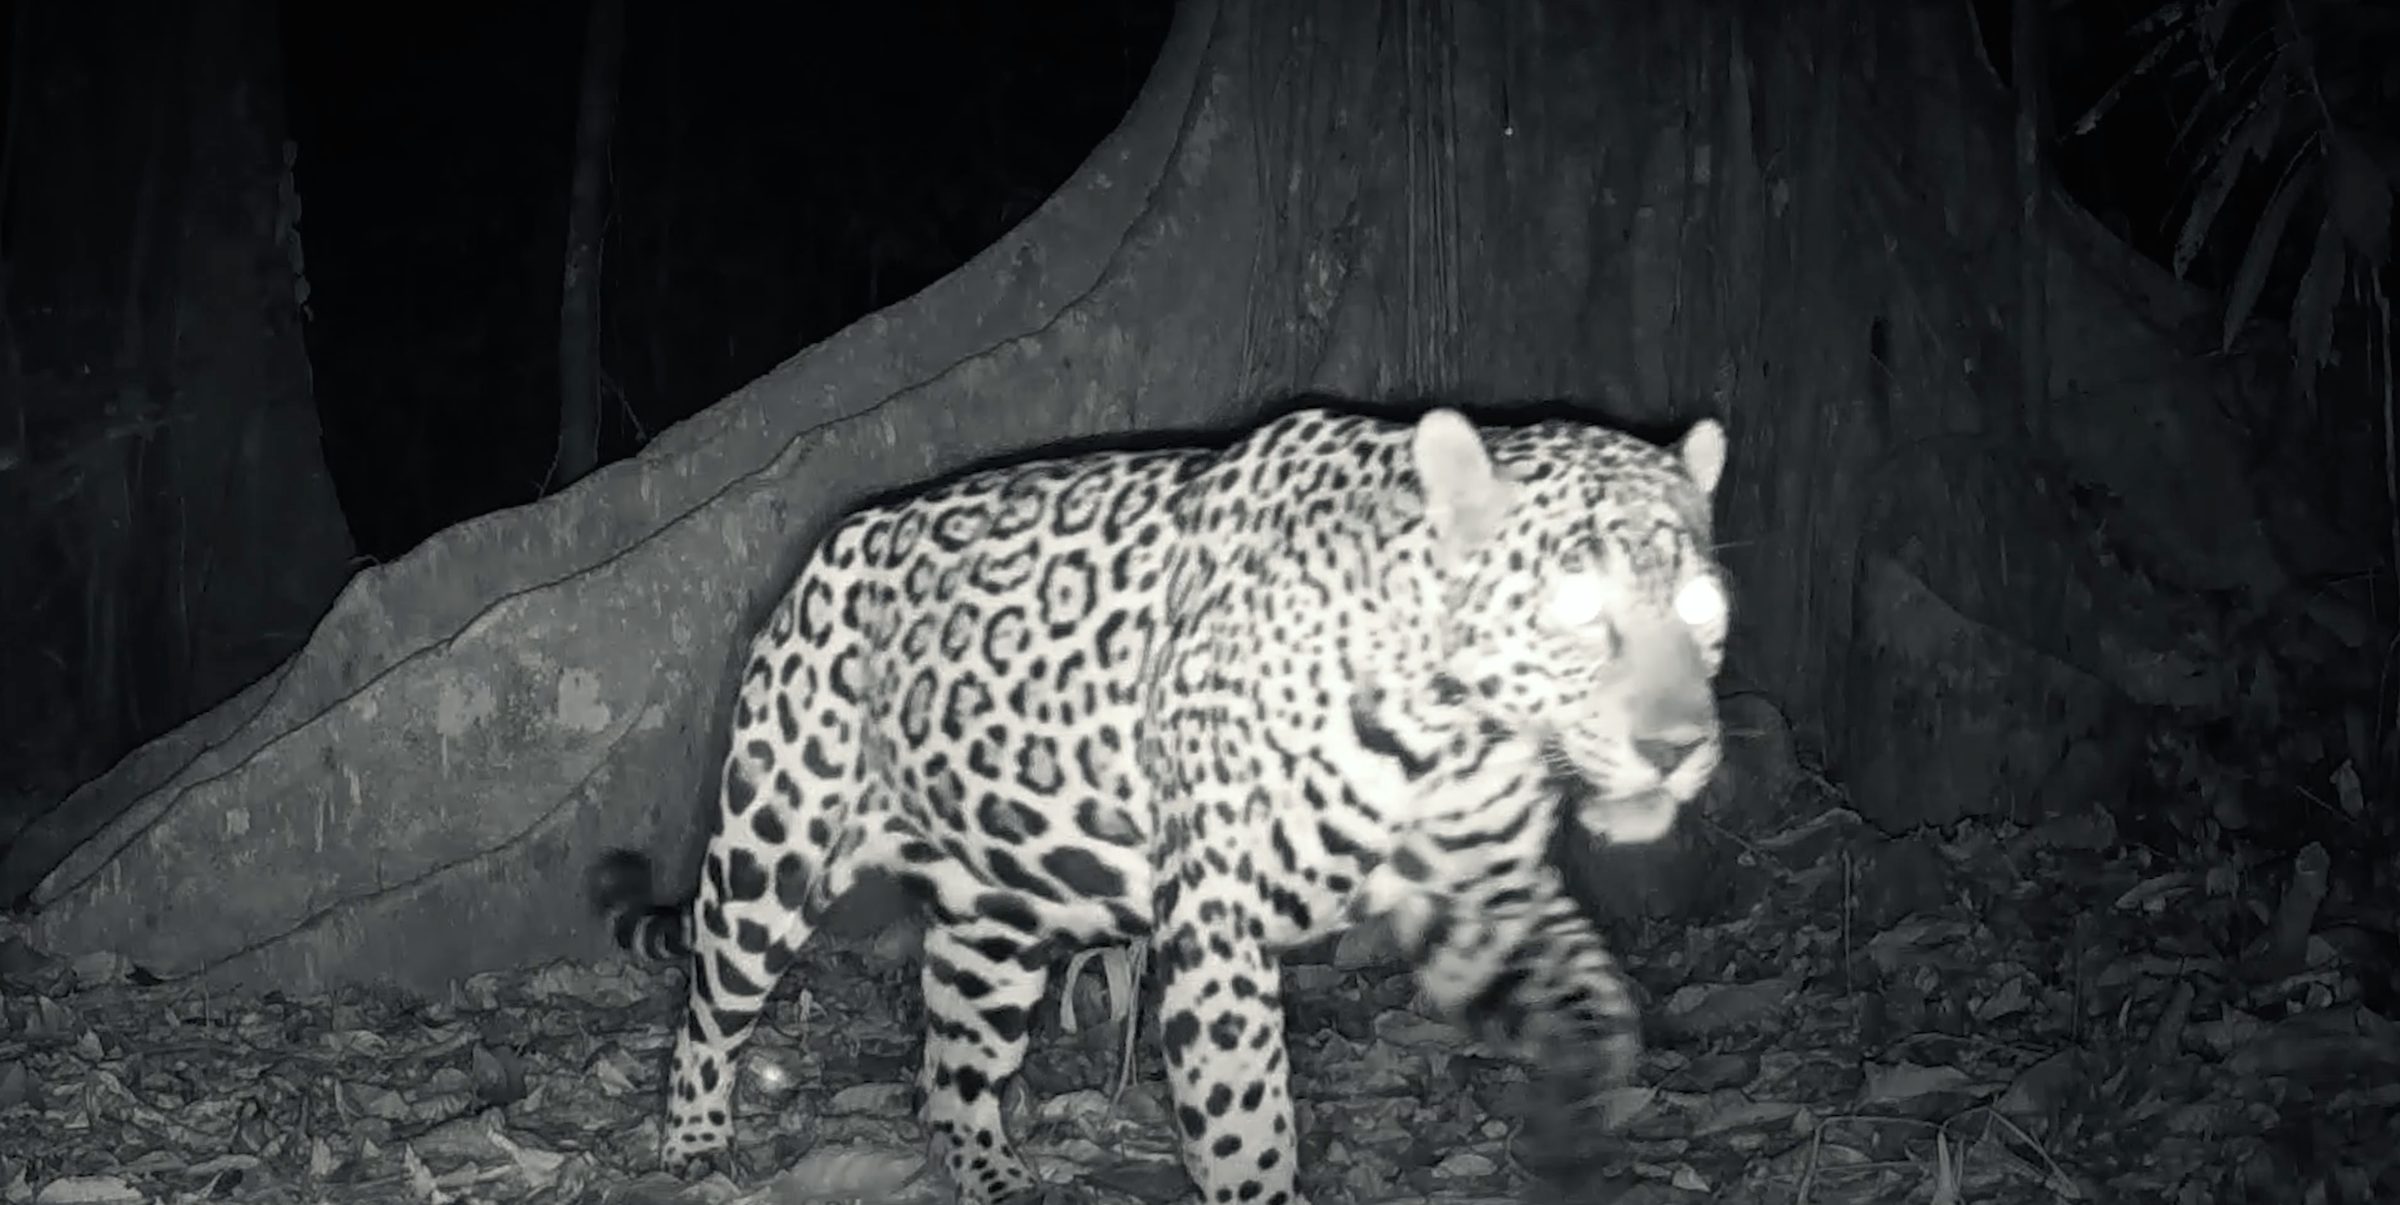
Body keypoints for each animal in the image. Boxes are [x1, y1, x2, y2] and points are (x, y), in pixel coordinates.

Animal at [592, 402, 1732, 1205]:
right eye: (1576, 606)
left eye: (1702, 608)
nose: (1677, 749)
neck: (1448, 728)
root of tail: (823, 559)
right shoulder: (1220, 922)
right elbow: (1245, 1123)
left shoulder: (1486, 898)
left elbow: (1587, 997)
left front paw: (1587, 1112)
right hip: (773, 845)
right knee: (711, 1004)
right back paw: (695, 1144)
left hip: (1000, 919)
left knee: (951, 1067)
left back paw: (994, 1174)